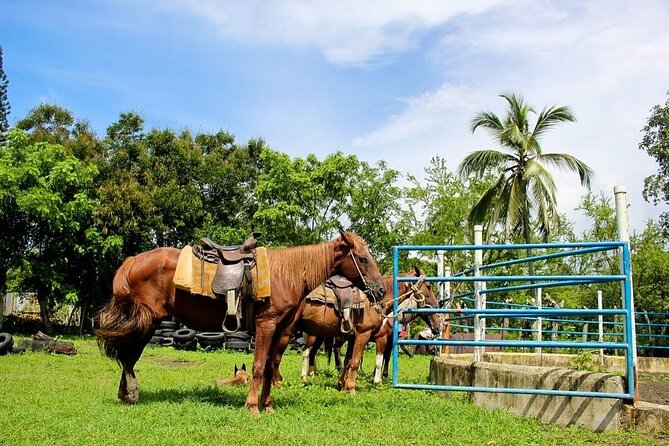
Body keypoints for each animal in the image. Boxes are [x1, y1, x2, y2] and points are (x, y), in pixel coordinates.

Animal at [96, 230, 385, 415]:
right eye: (362, 259)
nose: (380, 290)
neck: (287, 274)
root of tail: (133, 260)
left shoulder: (281, 329)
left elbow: (269, 367)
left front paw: (268, 406)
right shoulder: (266, 325)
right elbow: (258, 367)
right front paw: (253, 407)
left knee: (128, 355)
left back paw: (126, 394)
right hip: (146, 321)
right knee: (128, 356)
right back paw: (132, 393)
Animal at [271, 267, 442, 392]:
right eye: (428, 286)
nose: (437, 327)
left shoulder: (354, 337)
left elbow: (349, 360)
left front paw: (342, 384)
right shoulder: (369, 336)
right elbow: (367, 360)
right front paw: (365, 384)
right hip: (293, 333)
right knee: (284, 355)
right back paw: (282, 382)